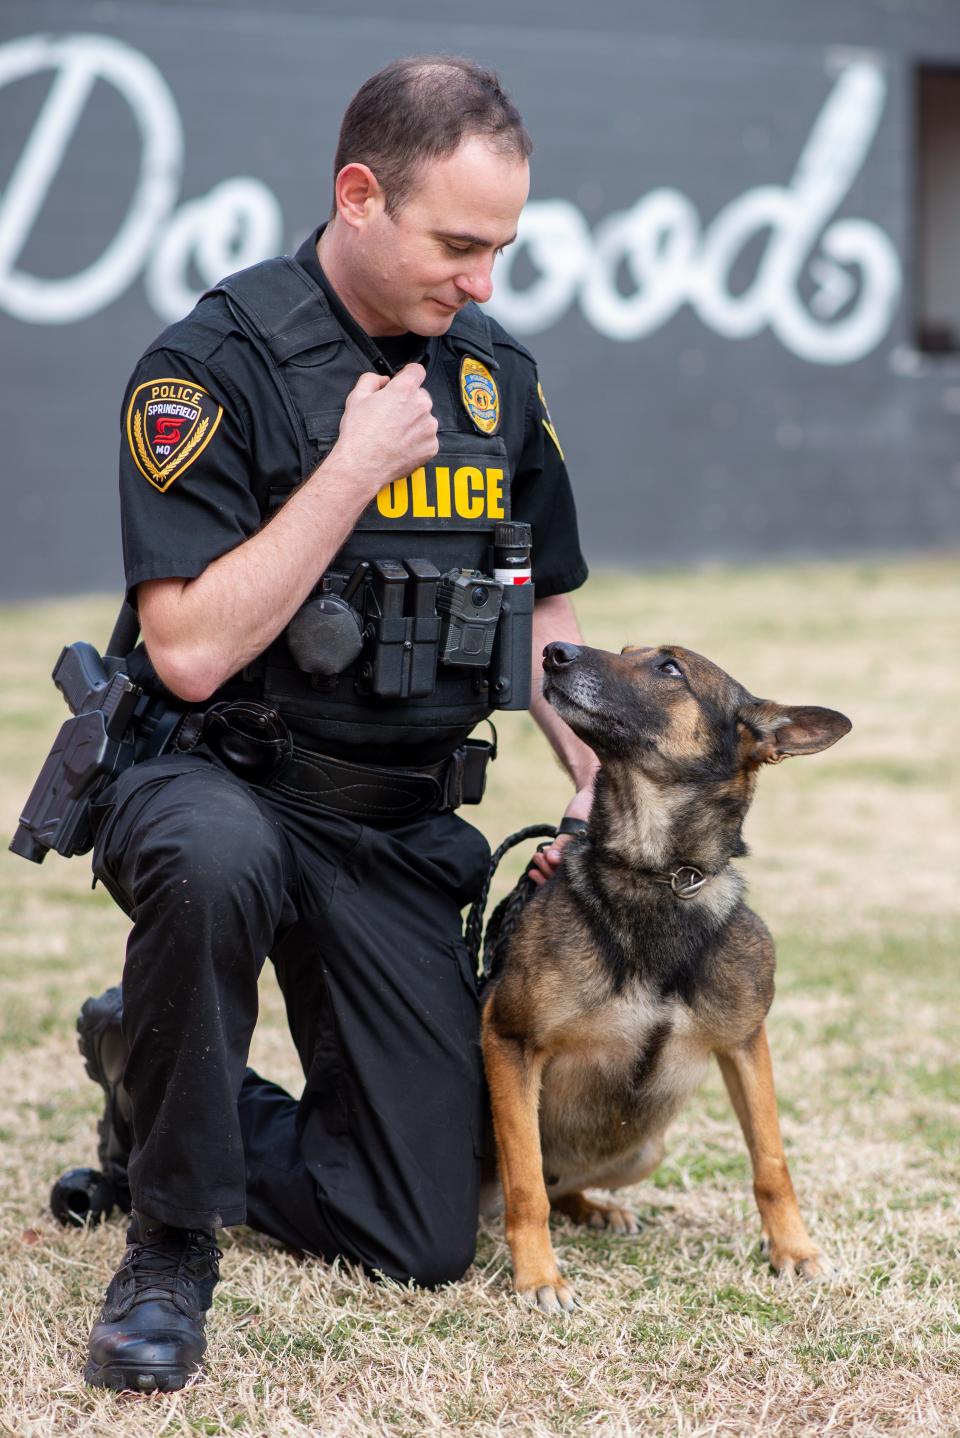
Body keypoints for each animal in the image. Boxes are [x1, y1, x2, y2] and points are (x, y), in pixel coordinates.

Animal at [482, 641, 850, 1317]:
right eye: (627, 651)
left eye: (670, 668)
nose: (554, 652)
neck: (657, 874)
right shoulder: (509, 1039)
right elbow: (525, 1186)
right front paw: (539, 1276)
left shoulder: (745, 1044)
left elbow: (772, 1162)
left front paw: (794, 1250)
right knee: (533, 1181)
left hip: (647, 1146)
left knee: (560, 1183)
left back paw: (597, 1209)